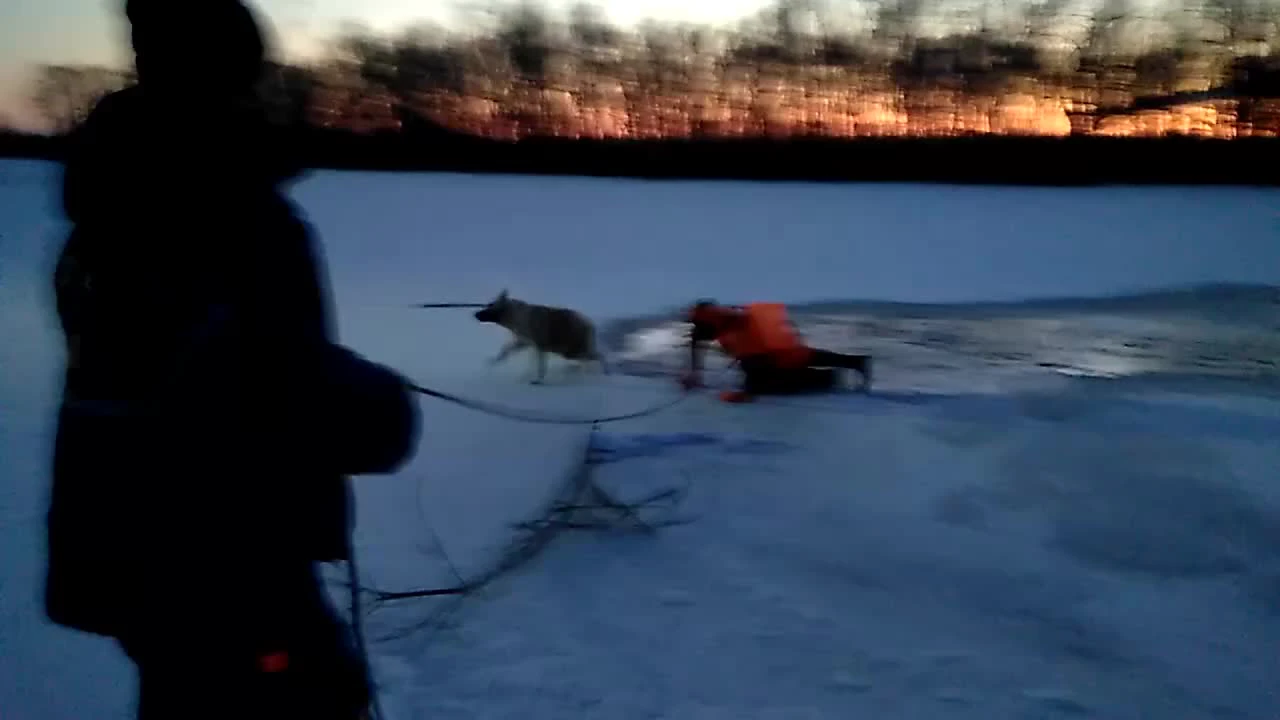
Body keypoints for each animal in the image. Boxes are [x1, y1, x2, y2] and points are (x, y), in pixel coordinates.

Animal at [476, 288, 609, 384]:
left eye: (490, 306)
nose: (475, 314)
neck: (515, 315)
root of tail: (590, 324)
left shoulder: (539, 345)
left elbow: (540, 365)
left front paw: (538, 379)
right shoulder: (523, 342)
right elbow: (505, 351)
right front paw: (494, 360)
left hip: (573, 350)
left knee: (599, 356)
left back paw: (602, 371)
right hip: (570, 351)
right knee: (592, 358)